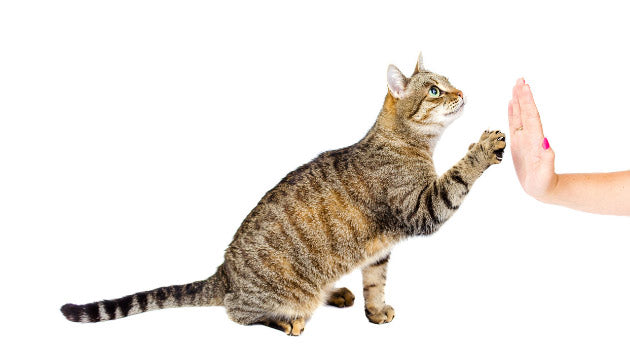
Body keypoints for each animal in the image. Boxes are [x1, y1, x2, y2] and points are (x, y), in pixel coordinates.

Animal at [60, 53, 508, 334]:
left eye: (449, 83)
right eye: (434, 90)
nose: (461, 92)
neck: (408, 143)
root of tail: (224, 273)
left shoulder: (378, 251)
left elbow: (376, 283)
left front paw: (376, 311)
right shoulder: (421, 207)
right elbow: (458, 176)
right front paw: (483, 148)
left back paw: (336, 292)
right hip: (273, 295)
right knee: (237, 313)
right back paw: (287, 319)